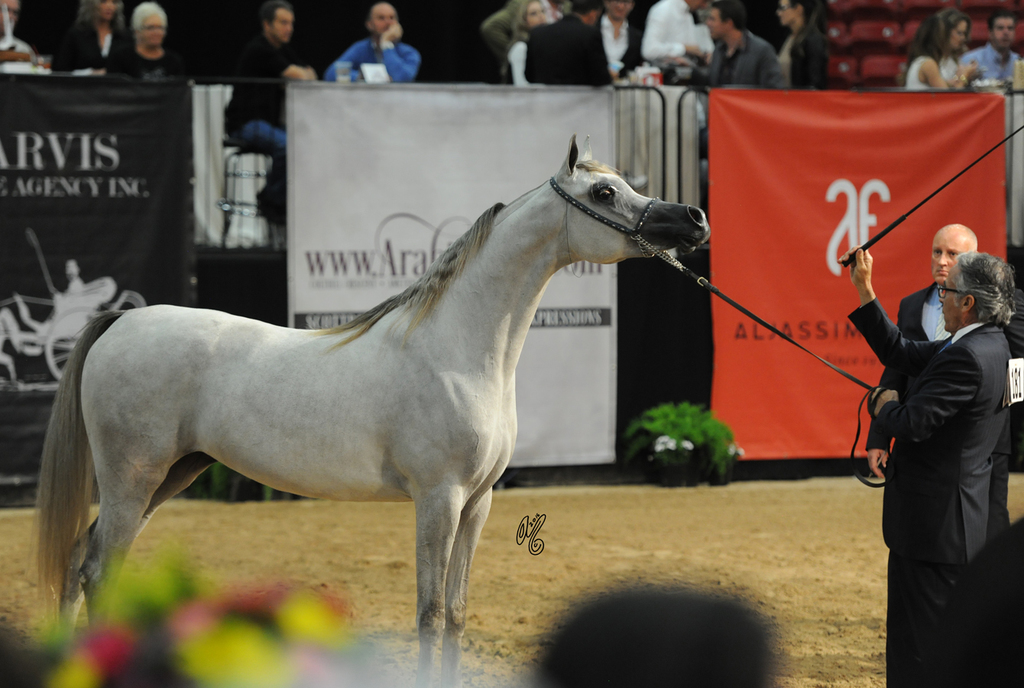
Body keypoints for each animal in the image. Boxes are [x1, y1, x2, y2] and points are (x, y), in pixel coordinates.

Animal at [35, 135, 710, 687]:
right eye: (604, 191)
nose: (694, 218)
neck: (458, 349)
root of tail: (123, 320)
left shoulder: (478, 503)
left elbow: (457, 613)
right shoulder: (438, 499)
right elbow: (429, 614)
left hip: (171, 476)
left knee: (79, 561)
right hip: (133, 477)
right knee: (97, 571)